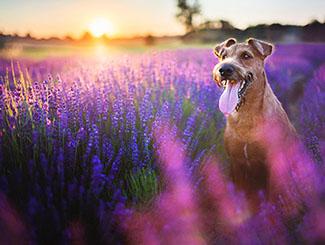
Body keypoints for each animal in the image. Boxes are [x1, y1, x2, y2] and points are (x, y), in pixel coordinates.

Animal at [211, 38, 298, 211]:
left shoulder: (273, 162)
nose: (224, 69)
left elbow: (273, 195)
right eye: (223, 56)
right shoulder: (236, 162)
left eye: (246, 55)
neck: (246, 113)